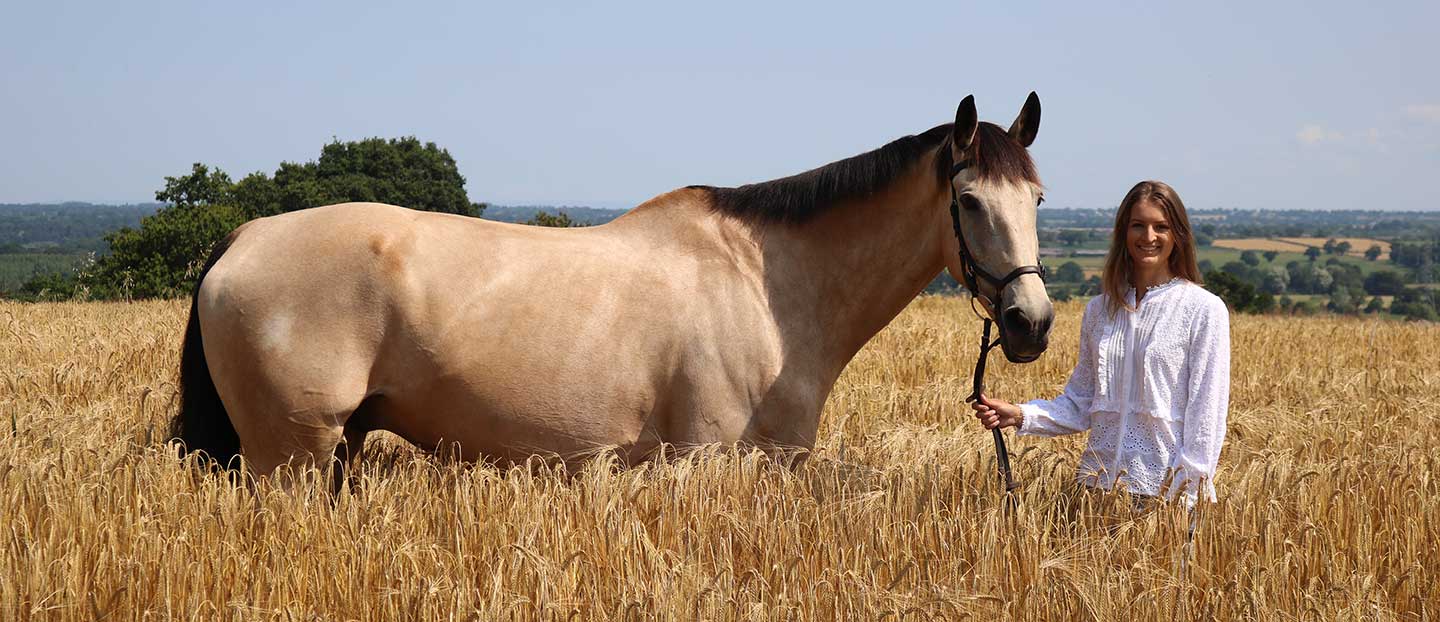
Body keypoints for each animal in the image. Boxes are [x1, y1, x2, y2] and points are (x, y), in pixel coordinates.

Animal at [171, 95, 1059, 489]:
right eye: (969, 201)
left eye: (1039, 198)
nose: (1031, 323)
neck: (768, 288)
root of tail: (245, 237)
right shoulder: (704, 465)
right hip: (286, 457)